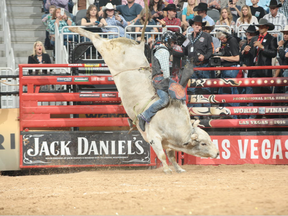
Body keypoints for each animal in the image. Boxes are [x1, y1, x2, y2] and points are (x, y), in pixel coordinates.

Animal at [68, 27, 219, 173]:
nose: (217, 153)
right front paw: (167, 170)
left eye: (209, 138)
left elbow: (171, 156)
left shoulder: (168, 142)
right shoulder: (154, 137)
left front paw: (179, 169)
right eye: (203, 143)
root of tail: (138, 46)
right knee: (95, 37)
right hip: (106, 49)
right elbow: (162, 155)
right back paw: (74, 28)